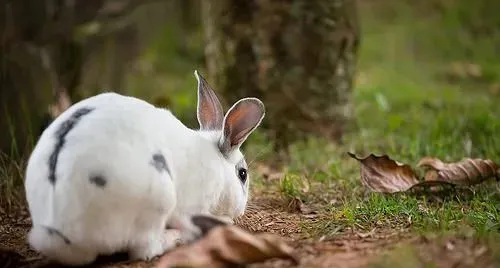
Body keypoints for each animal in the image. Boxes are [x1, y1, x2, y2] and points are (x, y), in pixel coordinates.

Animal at [24, 71, 266, 266]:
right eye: (242, 174)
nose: (241, 209)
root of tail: (63, 235)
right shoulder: (192, 206)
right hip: (158, 199)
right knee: (145, 249)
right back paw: (176, 237)